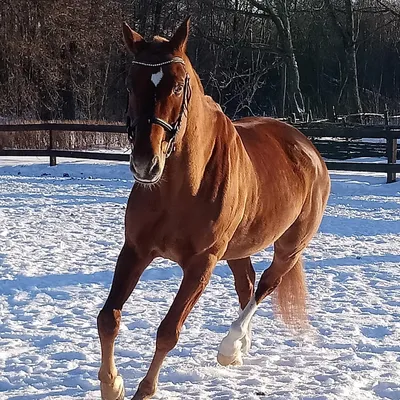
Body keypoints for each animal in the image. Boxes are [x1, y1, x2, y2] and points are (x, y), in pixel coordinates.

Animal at [97, 16, 332, 400]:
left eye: (178, 86)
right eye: (131, 84)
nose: (145, 163)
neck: (178, 188)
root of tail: (308, 148)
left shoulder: (201, 265)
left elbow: (168, 331)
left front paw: (144, 389)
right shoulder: (134, 250)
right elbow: (108, 318)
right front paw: (112, 384)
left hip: (289, 248)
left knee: (265, 285)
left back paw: (230, 346)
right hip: (240, 247)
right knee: (247, 285)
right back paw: (240, 348)